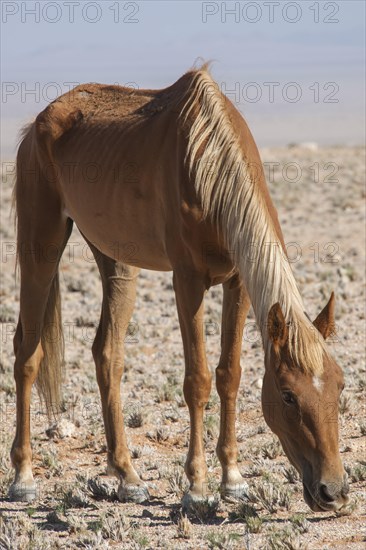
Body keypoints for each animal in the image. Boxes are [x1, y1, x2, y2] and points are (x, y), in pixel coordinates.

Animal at [8, 67, 348, 516]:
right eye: (289, 396)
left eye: (341, 384)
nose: (333, 491)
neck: (208, 165)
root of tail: (38, 125)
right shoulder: (187, 281)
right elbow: (197, 380)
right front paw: (197, 486)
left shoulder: (237, 282)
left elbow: (229, 375)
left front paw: (233, 480)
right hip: (40, 245)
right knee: (28, 354)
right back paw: (24, 477)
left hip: (117, 260)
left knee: (107, 354)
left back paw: (127, 476)